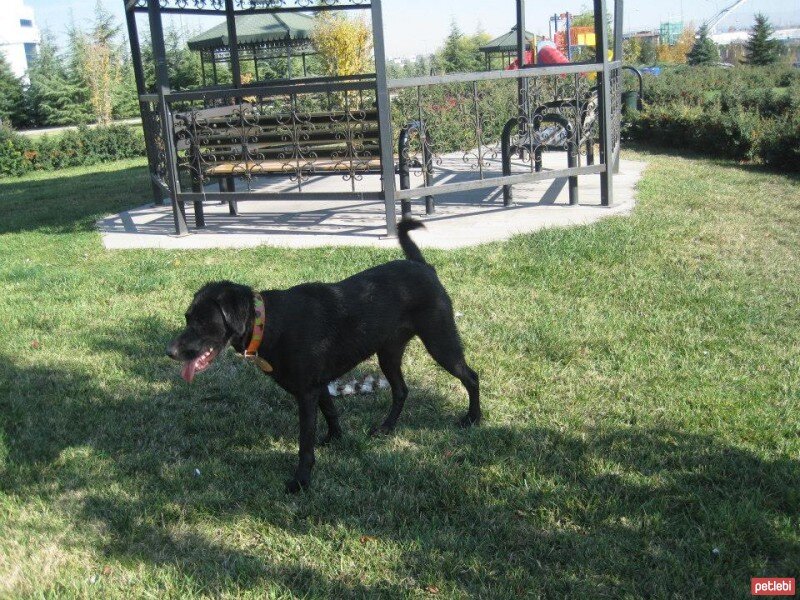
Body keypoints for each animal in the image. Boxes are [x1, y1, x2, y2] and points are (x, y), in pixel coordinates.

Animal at [167, 220, 482, 492]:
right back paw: (386, 427)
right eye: (187, 318)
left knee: (471, 377)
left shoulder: (306, 393)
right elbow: (331, 411)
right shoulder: (317, 385)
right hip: (388, 353)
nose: (170, 352)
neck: (269, 323)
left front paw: (301, 481)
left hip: (441, 343)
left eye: (203, 322)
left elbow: (305, 442)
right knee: (401, 390)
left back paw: (473, 419)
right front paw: (335, 439)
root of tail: (423, 266)